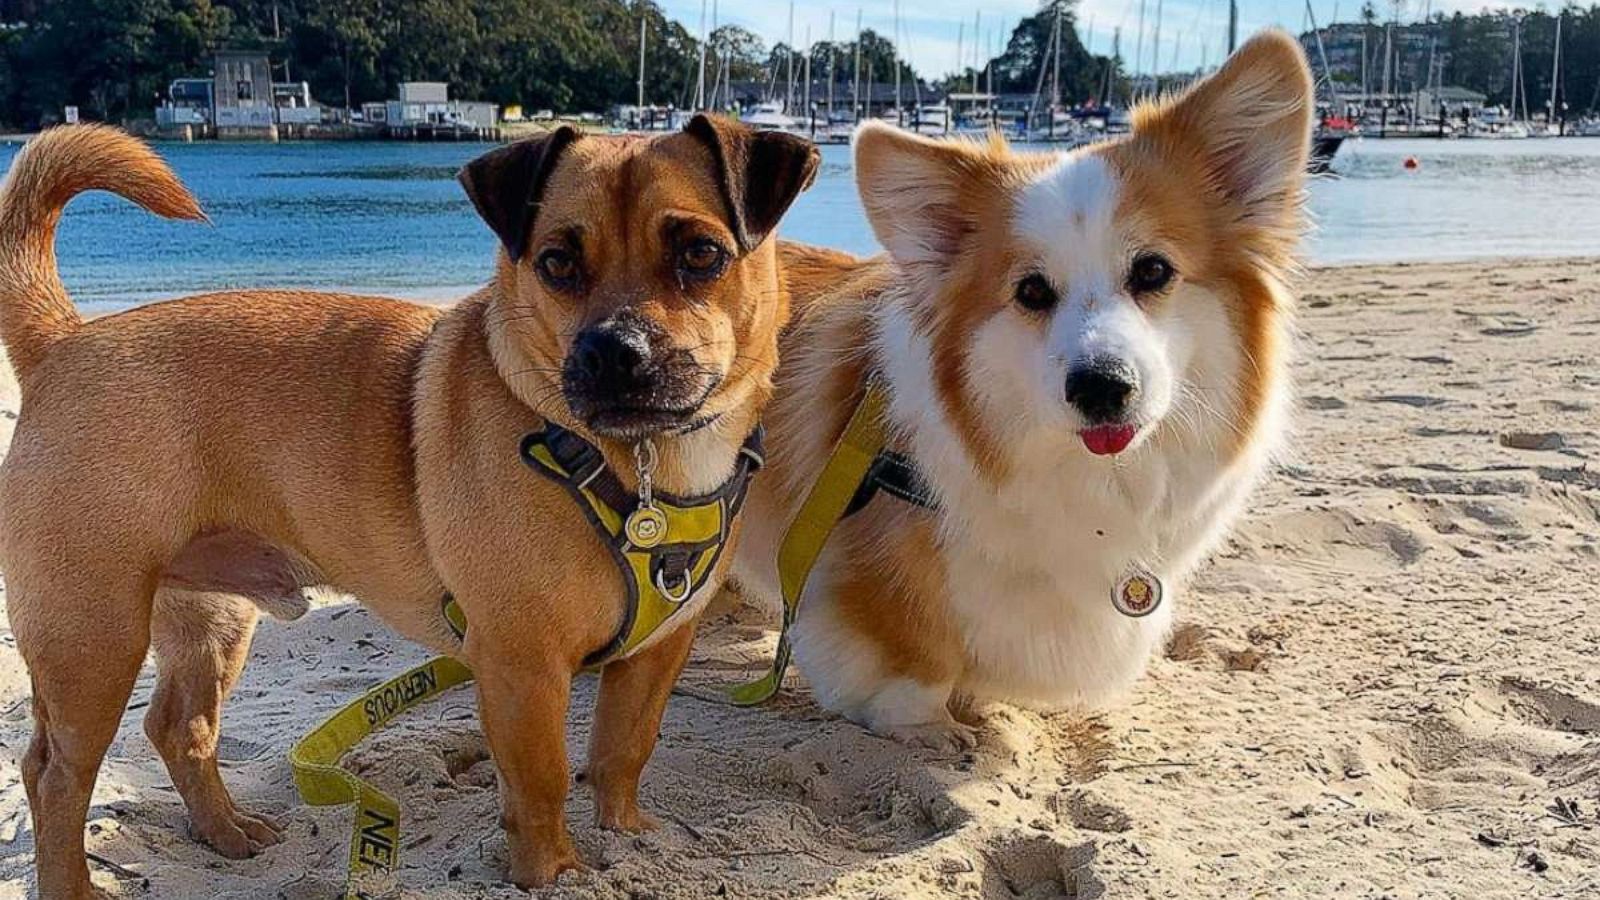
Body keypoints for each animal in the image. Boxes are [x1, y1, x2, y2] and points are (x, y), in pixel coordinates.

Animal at [0, 115, 819, 890]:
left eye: (702, 255)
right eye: (556, 263)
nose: (613, 351)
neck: (640, 464)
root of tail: (64, 341)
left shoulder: (654, 654)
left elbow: (623, 753)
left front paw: (628, 840)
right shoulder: (523, 666)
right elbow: (543, 781)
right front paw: (551, 872)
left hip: (209, 622)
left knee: (181, 729)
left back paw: (227, 831)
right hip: (92, 642)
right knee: (54, 776)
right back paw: (74, 886)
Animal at [739, 31, 1312, 739]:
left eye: (1153, 270)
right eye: (1032, 291)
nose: (1101, 388)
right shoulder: (859, 583)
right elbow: (910, 675)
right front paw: (939, 732)